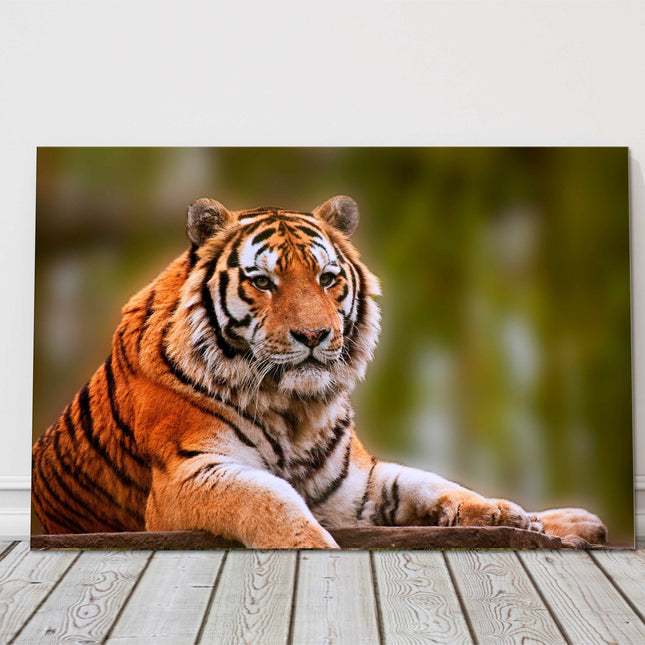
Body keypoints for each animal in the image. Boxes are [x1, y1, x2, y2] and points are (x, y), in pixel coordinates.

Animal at [32, 195, 607, 548]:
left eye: (328, 278)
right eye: (263, 281)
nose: (314, 336)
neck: (294, 410)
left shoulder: (354, 483)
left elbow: (433, 483)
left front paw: (498, 513)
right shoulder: (190, 473)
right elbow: (269, 500)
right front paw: (312, 547)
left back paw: (569, 521)